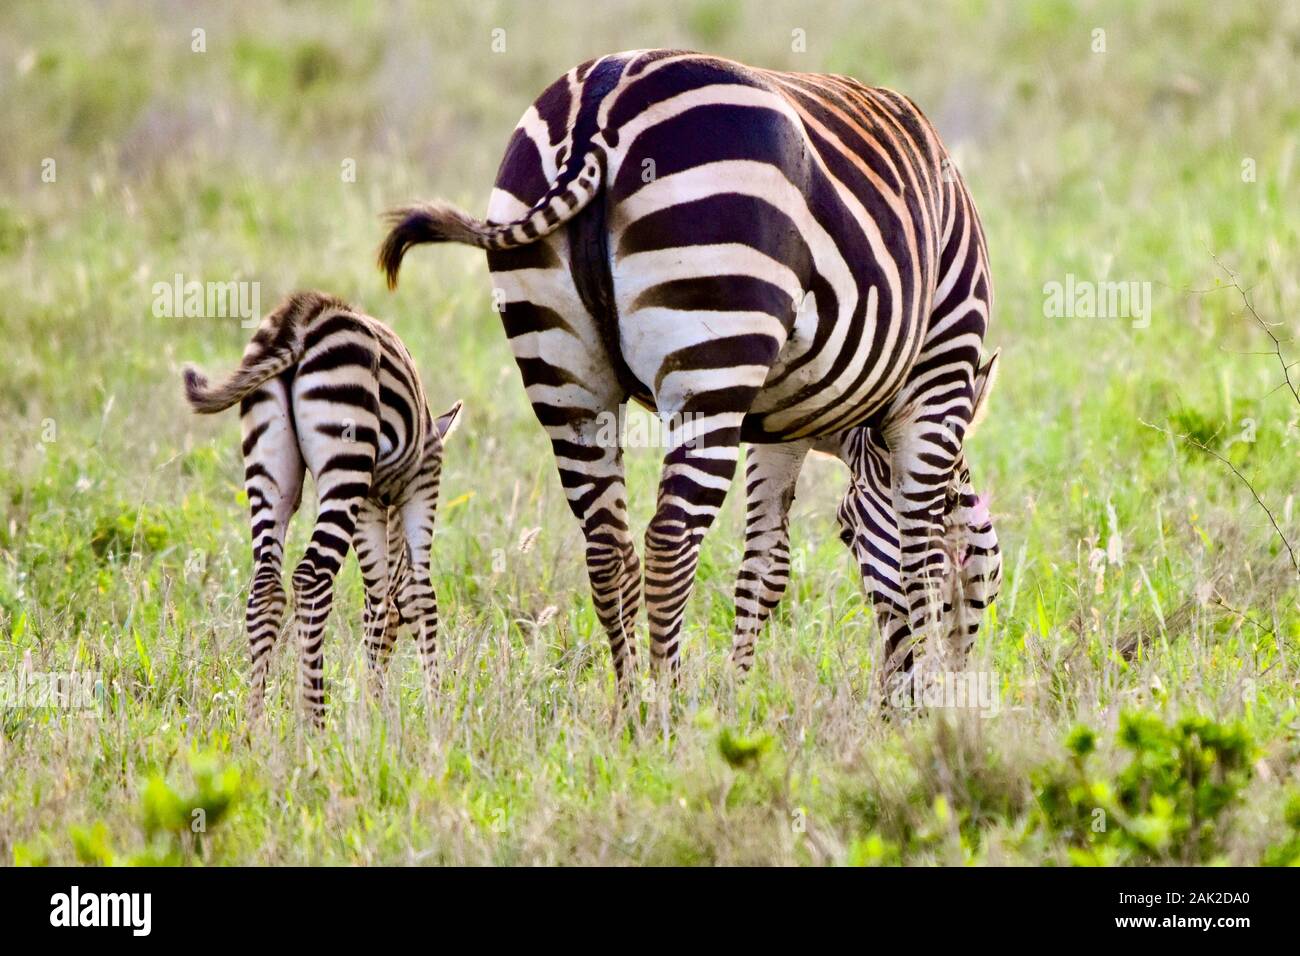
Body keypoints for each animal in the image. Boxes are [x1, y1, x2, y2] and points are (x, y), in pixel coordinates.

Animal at [182, 291, 462, 723]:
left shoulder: (369, 505)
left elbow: (377, 603)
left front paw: (375, 712)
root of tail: (301, 317)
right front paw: (436, 714)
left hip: (272, 469)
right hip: (344, 456)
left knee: (266, 586)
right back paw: (315, 720)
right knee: (311, 577)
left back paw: (255, 723)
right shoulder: (422, 482)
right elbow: (417, 596)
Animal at [379, 49, 998, 694]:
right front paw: (920, 698)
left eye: (844, 533)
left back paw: (631, 706)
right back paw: (668, 707)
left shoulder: (780, 424)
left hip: (566, 378)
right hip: (716, 350)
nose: (931, 682)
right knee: (670, 542)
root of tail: (598, 106)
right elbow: (917, 558)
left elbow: (767, 566)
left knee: (608, 549)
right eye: (980, 542)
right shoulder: (938, 375)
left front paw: (739, 695)